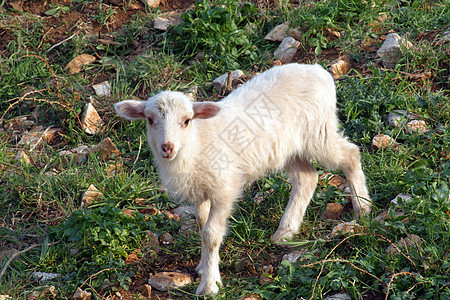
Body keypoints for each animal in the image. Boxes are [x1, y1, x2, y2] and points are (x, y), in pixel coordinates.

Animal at [114, 63, 370, 296]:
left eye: (186, 120)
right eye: (149, 119)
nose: (167, 147)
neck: (195, 144)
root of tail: (318, 70)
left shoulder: (224, 188)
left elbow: (211, 234)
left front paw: (209, 285)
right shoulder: (201, 191)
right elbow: (201, 226)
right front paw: (204, 266)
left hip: (318, 131)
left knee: (350, 155)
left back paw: (363, 208)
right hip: (288, 147)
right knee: (307, 178)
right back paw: (285, 232)